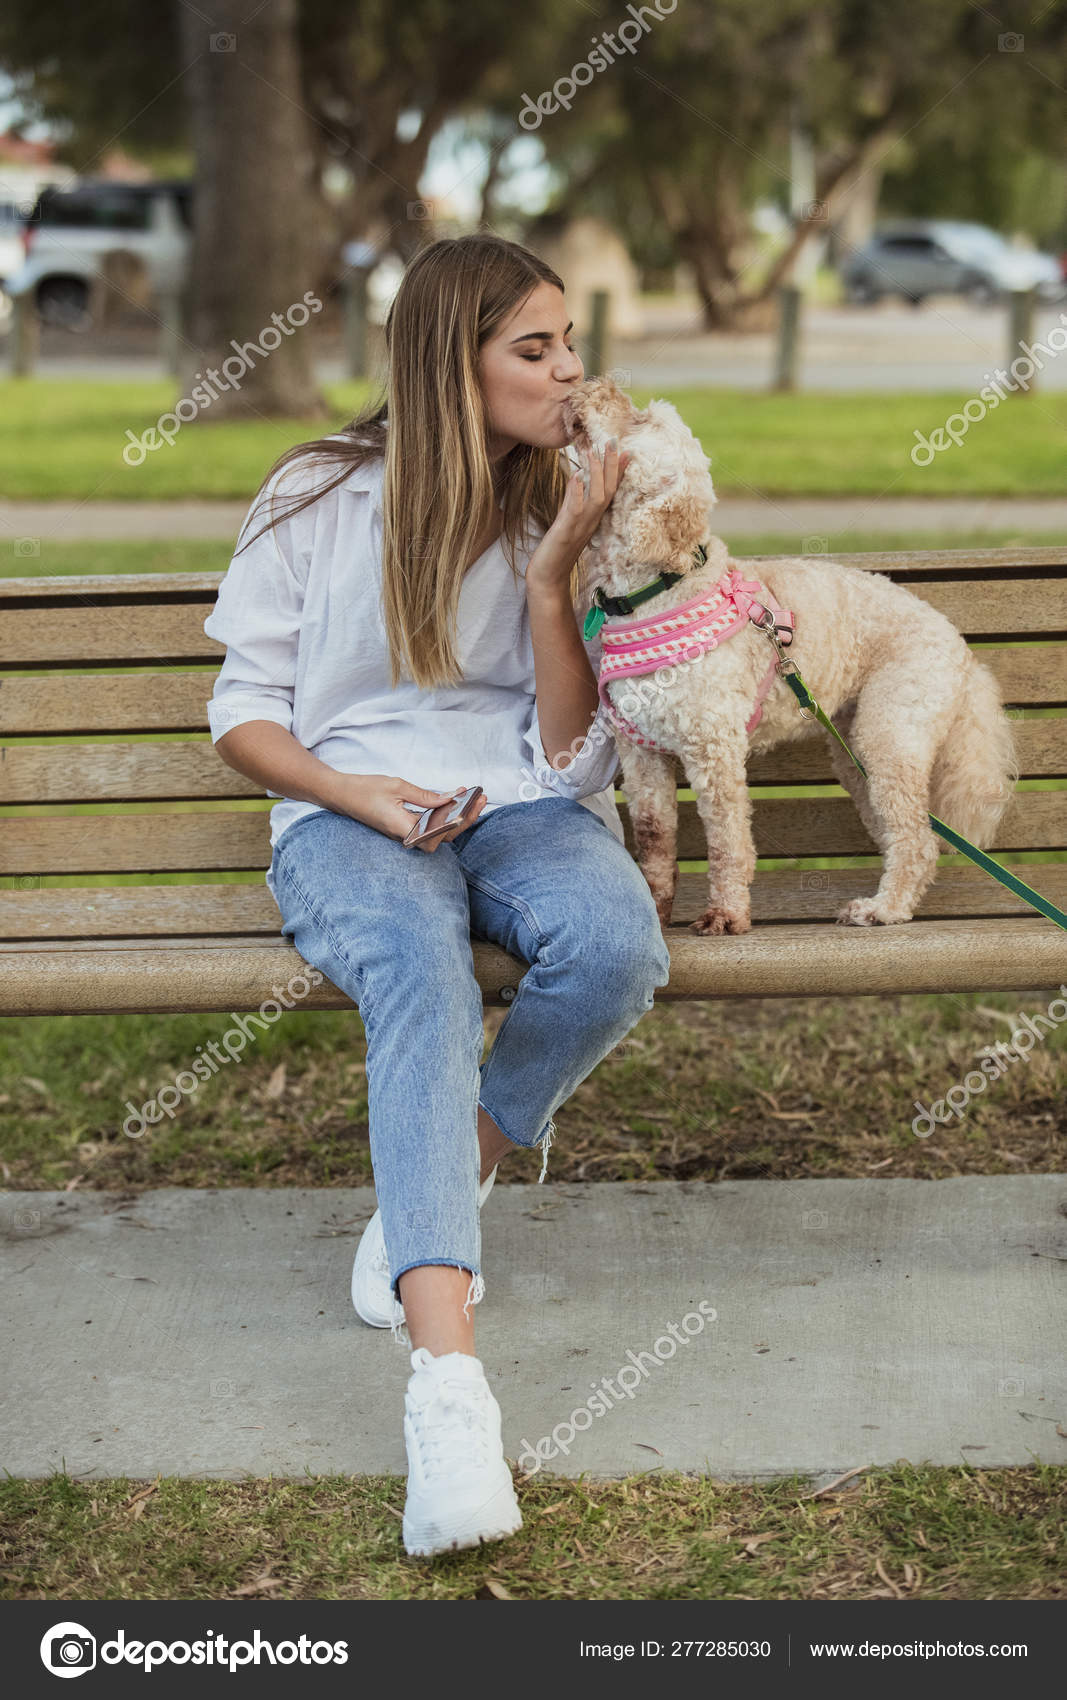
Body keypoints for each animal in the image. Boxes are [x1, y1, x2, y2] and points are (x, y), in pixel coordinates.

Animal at [561, 376, 1018, 935]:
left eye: (639, 419)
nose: (595, 381)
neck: (656, 590)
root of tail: (960, 647)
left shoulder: (714, 749)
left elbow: (727, 842)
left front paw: (727, 914)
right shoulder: (642, 755)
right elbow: (653, 838)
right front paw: (655, 908)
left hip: (891, 732)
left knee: (915, 839)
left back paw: (883, 908)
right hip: (856, 751)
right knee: (910, 832)